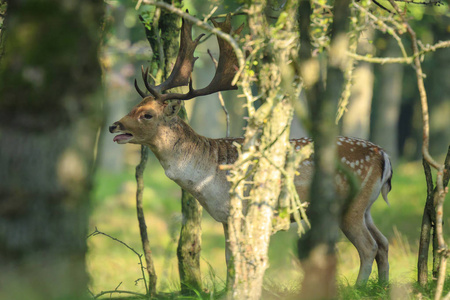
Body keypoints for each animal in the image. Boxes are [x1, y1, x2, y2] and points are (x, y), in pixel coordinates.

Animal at [108, 15, 390, 284]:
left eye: (147, 114)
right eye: (134, 106)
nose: (113, 126)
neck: (207, 176)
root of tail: (383, 155)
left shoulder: (239, 210)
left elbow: (236, 257)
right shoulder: (225, 217)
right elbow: (229, 257)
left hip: (350, 205)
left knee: (369, 247)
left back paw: (359, 287)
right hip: (367, 206)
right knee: (384, 242)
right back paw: (383, 285)